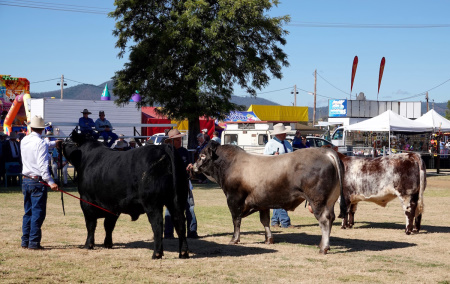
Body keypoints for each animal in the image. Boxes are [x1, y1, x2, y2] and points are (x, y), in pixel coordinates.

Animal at [59, 131, 188, 260]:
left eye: (68, 140)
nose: (60, 142)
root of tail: (164, 147)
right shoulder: (113, 205)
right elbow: (109, 225)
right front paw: (108, 244)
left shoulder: (86, 201)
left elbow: (91, 225)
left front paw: (88, 245)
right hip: (178, 200)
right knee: (180, 222)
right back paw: (183, 253)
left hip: (152, 203)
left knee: (157, 224)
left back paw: (156, 254)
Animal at [192, 142, 344, 255]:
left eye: (202, 155)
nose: (193, 167)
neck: (231, 165)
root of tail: (326, 153)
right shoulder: (262, 203)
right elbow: (264, 220)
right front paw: (269, 239)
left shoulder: (234, 200)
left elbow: (236, 221)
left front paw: (234, 239)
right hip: (330, 201)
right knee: (331, 218)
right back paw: (323, 244)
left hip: (318, 201)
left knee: (324, 220)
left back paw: (323, 248)